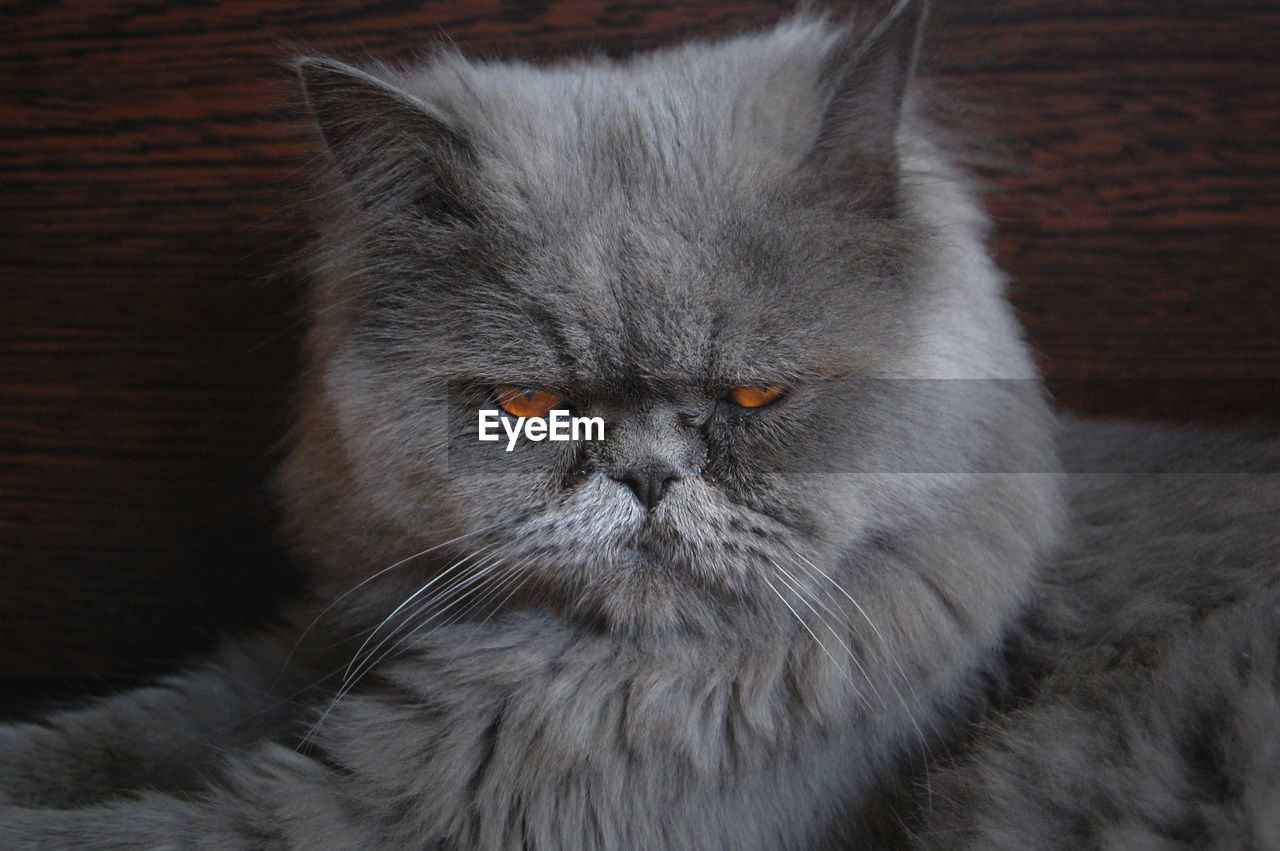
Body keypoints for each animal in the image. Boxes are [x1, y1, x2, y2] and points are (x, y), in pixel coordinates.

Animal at [2, 0, 1280, 844]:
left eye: (754, 398)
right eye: (527, 405)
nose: (649, 475)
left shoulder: (381, 808)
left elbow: (136, 822)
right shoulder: (306, 648)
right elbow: (122, 729)